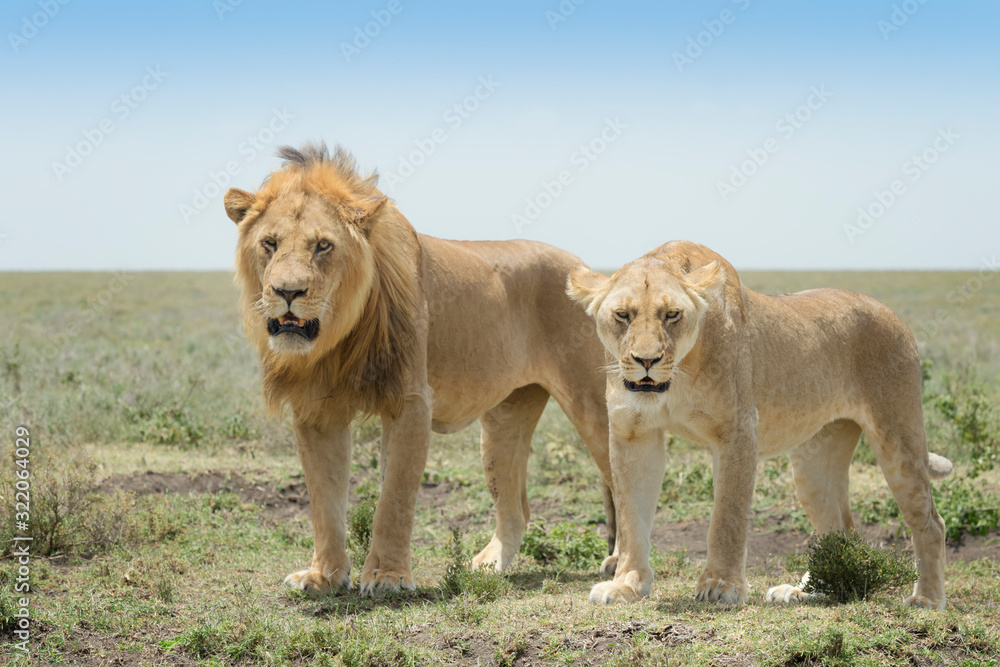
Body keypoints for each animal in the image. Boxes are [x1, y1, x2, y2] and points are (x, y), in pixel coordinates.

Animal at [222, 142, 615, 596]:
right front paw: (324, 576)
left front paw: (388, 577)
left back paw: (618, 566)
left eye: (323, 246)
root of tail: (587, 268)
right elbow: (324, 500)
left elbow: (395, 495)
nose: (288, 292)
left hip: (593, 404)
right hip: (504, 419)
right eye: (269, 243)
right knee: (516, 510)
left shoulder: (410, 400)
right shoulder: (315, 411)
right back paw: (487, 566)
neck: (337, 340)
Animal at [567, 240, 953, 609]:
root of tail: (893, 315)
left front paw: (721, 586)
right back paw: (805, 592)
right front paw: (626, 585)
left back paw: (926, 599)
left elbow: (728, 515)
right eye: (623, 315)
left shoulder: (737, 430)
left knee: (931, 523)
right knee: (841, 529)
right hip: (815, 462)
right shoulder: (634, 432)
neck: (678, 375)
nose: (646, 360)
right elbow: (631, 516)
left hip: (897, 437)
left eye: (672, 315)